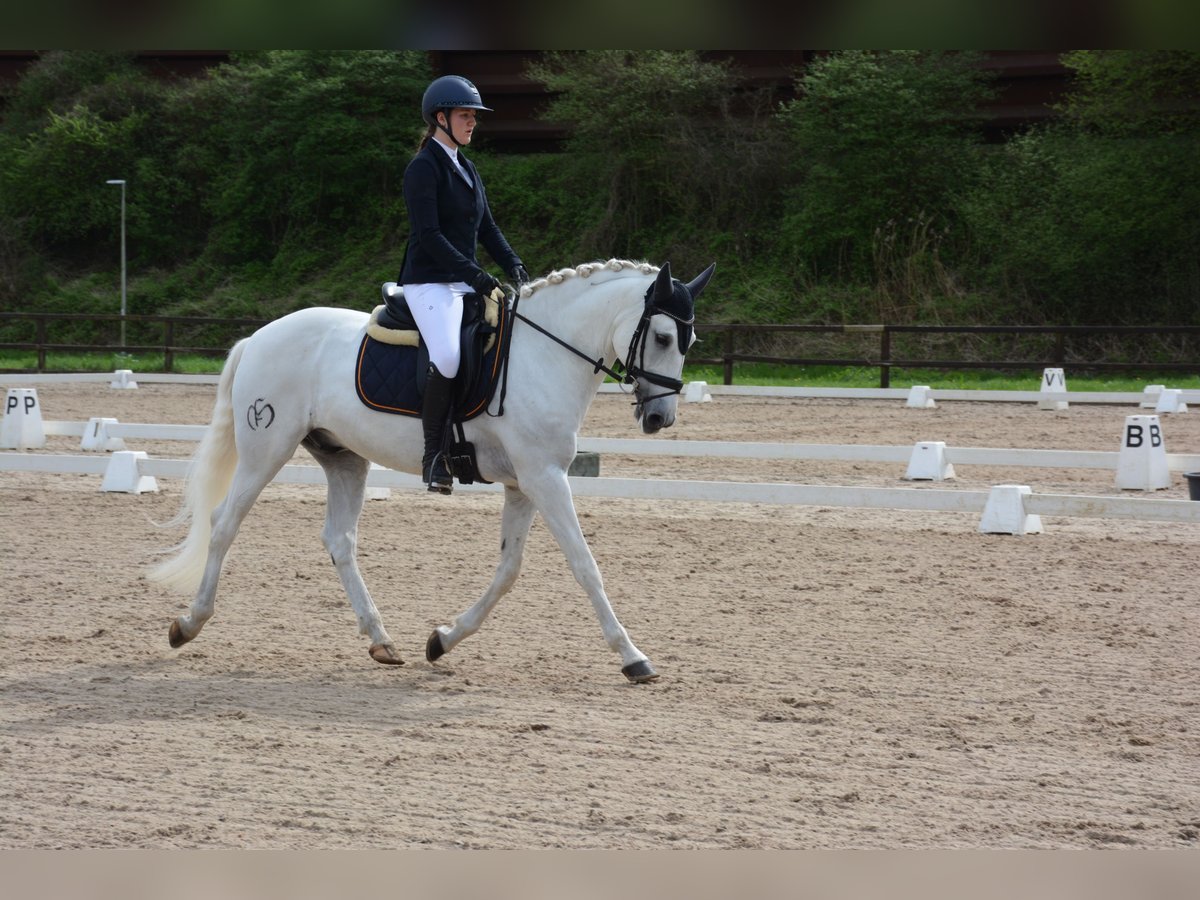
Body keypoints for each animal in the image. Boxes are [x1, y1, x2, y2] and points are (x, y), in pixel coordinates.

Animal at [148, 259, 710, 681]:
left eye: (689, 342)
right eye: (663, 337)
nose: (660, 418)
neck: (545, 354)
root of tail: (258, 337)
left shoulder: (525, 484)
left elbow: (508, 570)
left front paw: (442, 640)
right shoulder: (545, 479)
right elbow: (585, 565)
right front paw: (633, 657)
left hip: (344, 458)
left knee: (339, 541)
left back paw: (381, 641)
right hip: (267, 448)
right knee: (224, 523)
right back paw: (188, 624)